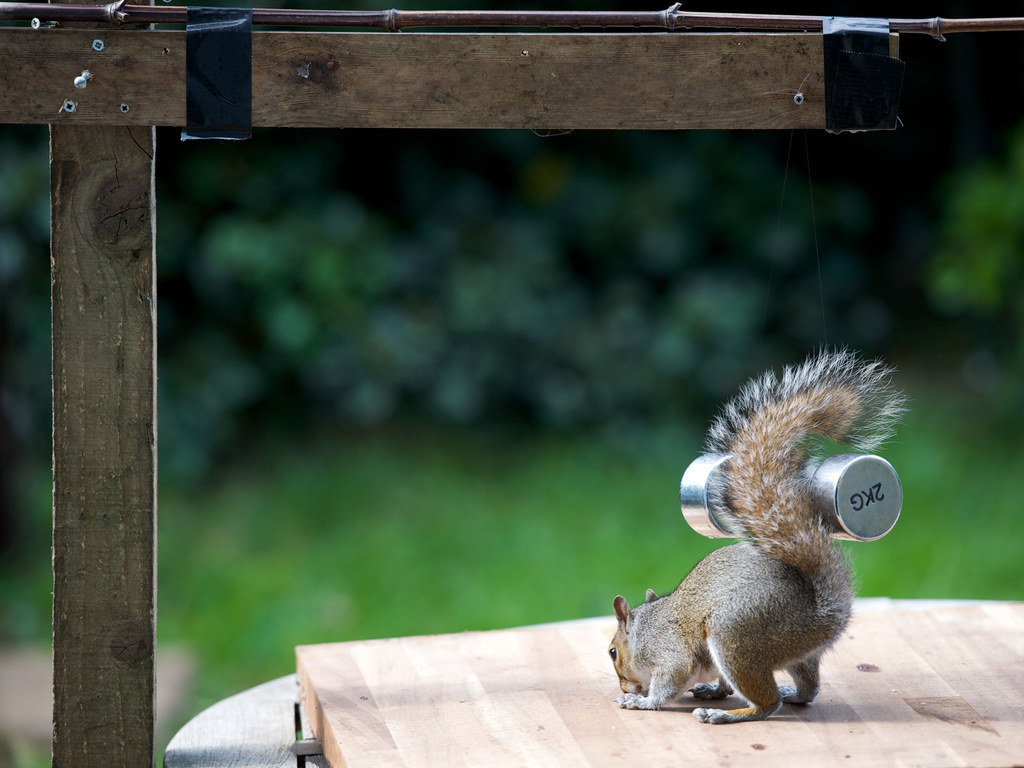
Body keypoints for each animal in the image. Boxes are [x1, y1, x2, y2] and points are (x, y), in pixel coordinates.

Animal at [606, 352, 905, 724]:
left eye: (612, 651)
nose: (624, 685)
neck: (646, 625)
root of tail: (823, 614)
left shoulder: (667, 648)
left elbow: (671, 678)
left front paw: (641, 701)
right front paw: (713, 688)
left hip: (735, 634)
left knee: (768, 703)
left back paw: (727, 714)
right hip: (793, 654)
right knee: (809, 689)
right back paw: (788, 693)